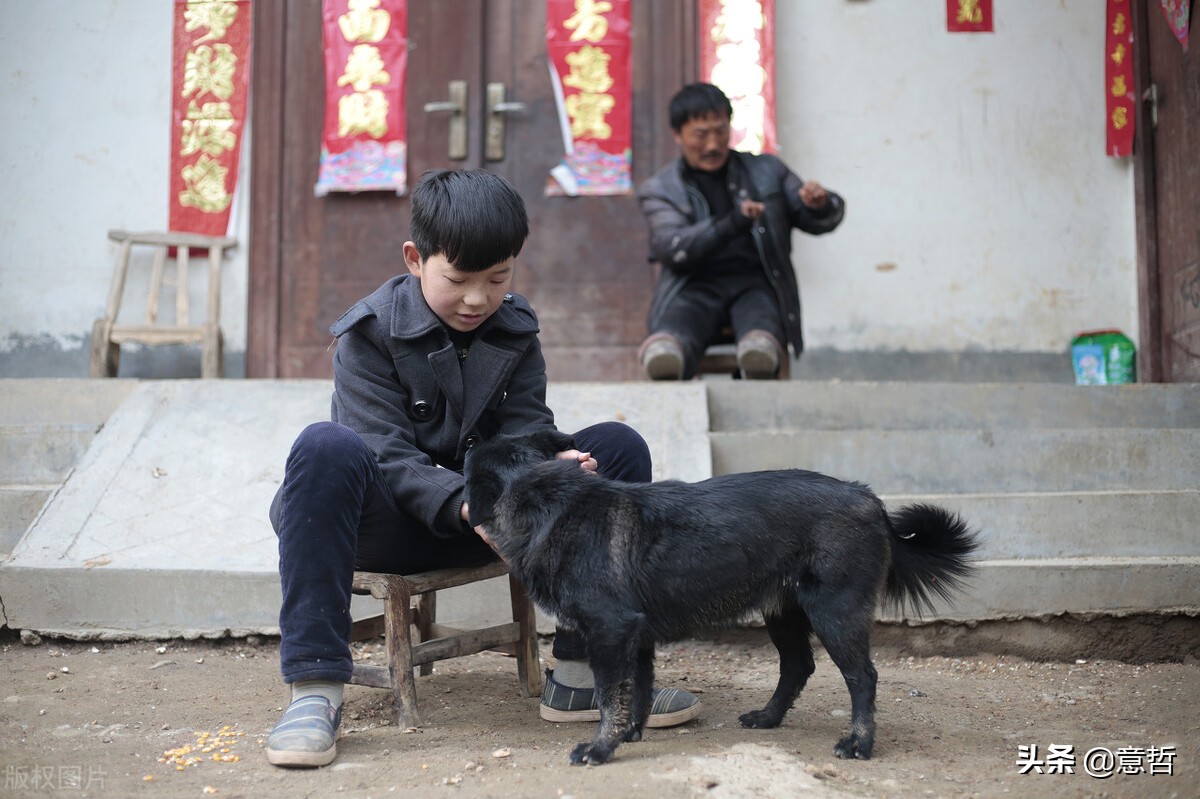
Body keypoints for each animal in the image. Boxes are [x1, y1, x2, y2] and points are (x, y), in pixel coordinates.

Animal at [463, 427, 979, 763]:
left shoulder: (611, 629)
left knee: (863, 678)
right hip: (783, 612)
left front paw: (601, 747)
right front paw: (631, 734)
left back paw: (859, 743)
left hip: (835, 612)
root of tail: (869, 497)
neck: (549, 502)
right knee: (798, 666)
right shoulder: (637, 635)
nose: (463, 440)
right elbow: (638, 689)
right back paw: (769, 718)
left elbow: (611, 695)